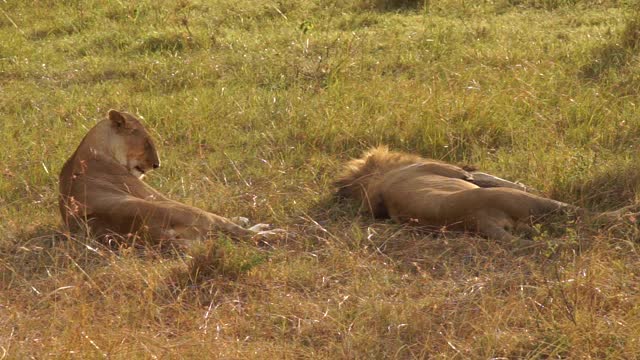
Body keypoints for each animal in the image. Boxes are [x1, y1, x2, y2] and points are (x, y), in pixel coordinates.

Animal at [60, 108, 278, 246]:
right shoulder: (155, 195)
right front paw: (243, 220)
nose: (157, 165)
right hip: (186, 210)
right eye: (147, 143)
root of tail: (151, 232)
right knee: (239, 232)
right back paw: (269, 232)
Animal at [336, 146, 636, 242]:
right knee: (586, 215)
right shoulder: (457, 172)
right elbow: (496, 179)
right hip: (537, 205)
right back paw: (628, 214)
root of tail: (477, 221)